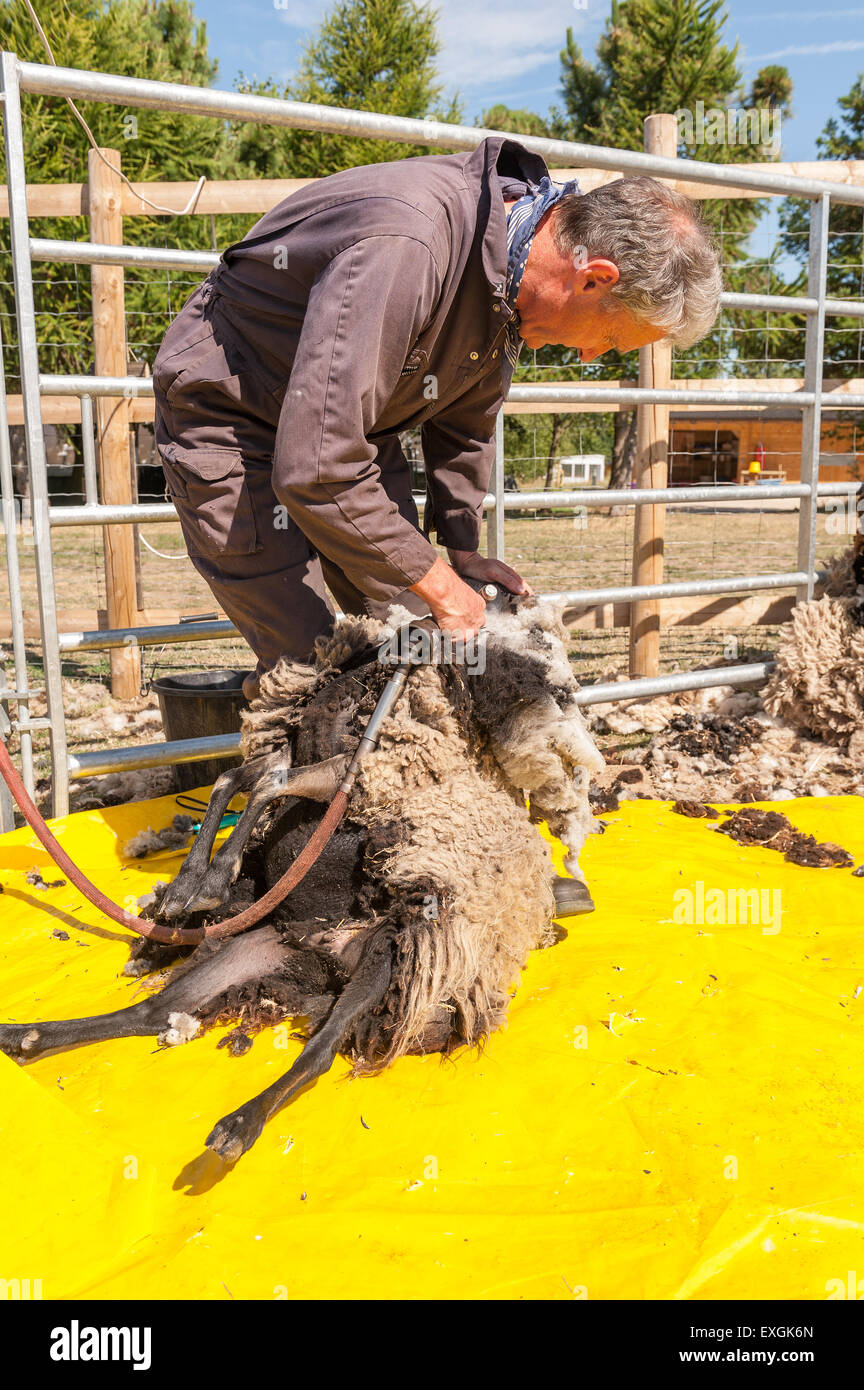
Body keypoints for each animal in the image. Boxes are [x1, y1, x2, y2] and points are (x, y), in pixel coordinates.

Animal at [0, 594, 605, 1162]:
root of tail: (320, 953)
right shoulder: (297, 753)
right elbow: (233, 779)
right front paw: (190, 887)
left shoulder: (351, 774)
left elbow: (265, 786)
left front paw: (214, 882)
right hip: (246, 953)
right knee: (151, 1013)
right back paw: (28, 1035)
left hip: (387, 954)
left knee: (320, 1052)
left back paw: (237, 1127)